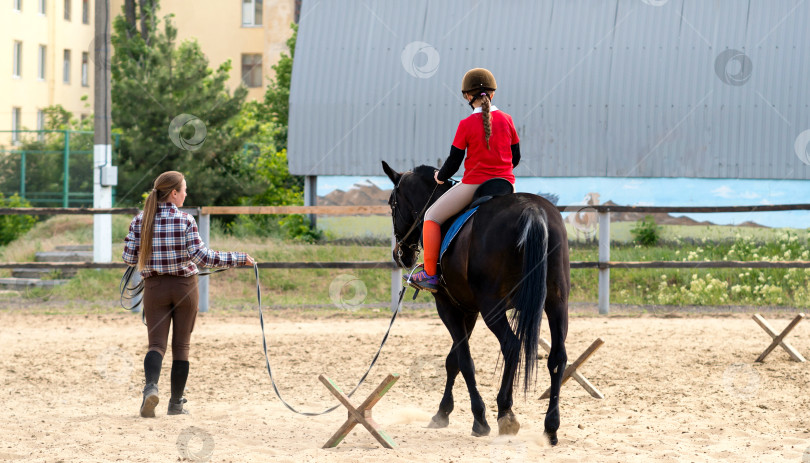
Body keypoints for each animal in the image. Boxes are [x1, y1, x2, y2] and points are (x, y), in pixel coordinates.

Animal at [384, 162, 568, 446]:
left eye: (392, 204)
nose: (400, 254)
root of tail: (533, 210)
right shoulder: (468, 310)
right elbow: (453, 360)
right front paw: (442, 412)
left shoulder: (448, 307)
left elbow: (464, 359)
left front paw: (479, 418)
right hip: (557, 303)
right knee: (558, 357)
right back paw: (551, 427)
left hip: (493, 308)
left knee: (511, 345)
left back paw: (505, 412)